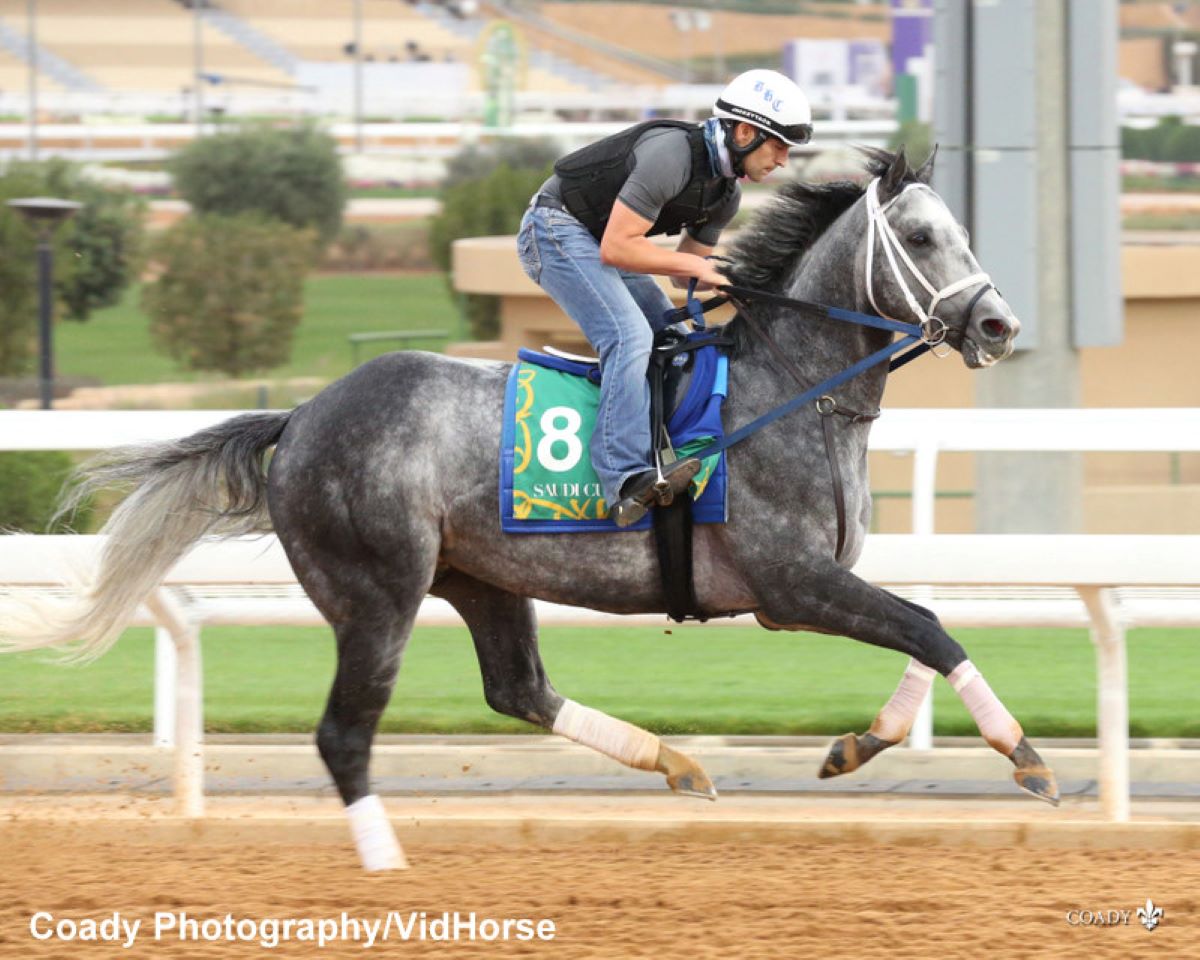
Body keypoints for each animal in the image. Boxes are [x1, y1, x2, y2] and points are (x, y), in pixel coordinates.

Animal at [7, 148, 1060, 868]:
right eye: (921, 238)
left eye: (960, 233)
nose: (999, 324)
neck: (790, 388)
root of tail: (303, 414)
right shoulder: (789, 584)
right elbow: (928, 626)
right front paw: (1025, 756)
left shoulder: (812, 586)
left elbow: (926, 630)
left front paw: (858, 745)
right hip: (376, 593)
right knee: (346, 734)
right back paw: (386, 862)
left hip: (481, 577)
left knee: (517, 689)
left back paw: (677, 764)